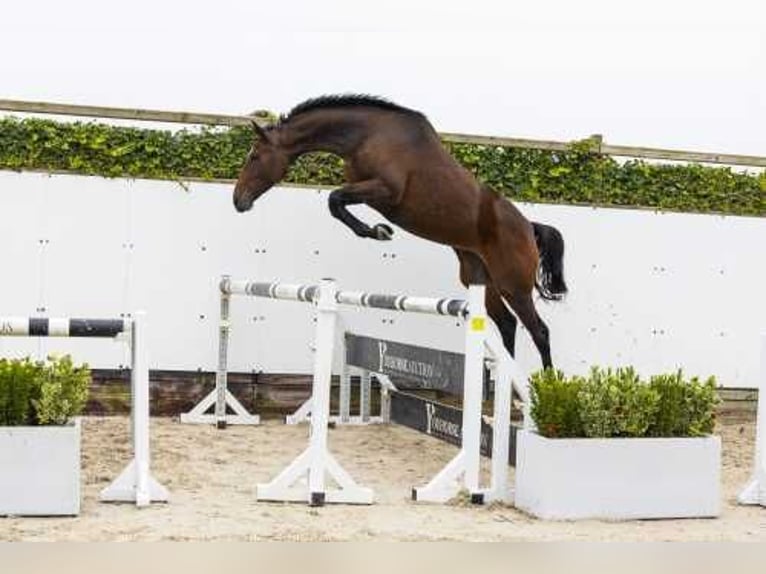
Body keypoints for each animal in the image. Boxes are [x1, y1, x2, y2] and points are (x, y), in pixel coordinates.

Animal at [234, 94, 568, 368]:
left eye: (254, 157)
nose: (238, 200)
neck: (365, 135)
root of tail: (528, 227)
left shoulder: (386, 191)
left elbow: (334, 200)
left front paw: (378, 231)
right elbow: (337, 202)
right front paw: (377, 230)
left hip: (513, 284)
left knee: (539, 330)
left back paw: (542, 387)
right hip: (479, 279)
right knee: (506, 323)